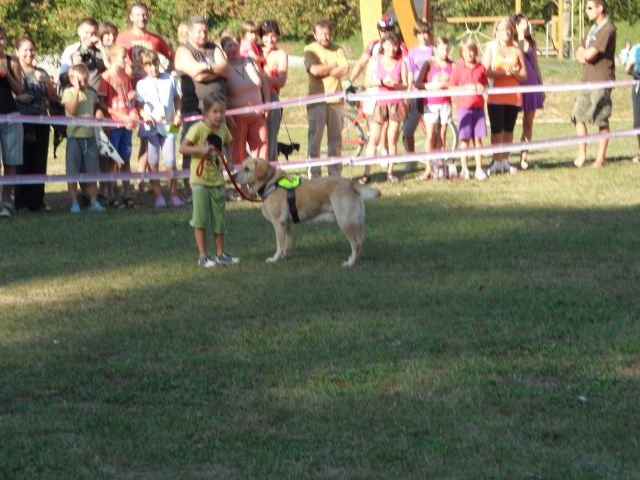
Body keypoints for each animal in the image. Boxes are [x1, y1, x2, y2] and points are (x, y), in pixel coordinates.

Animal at [236, 159, 380, 268]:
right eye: (241, 166)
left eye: (246, 169)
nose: (235, 175)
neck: (270, 183)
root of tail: (350, 183)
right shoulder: (287, 223)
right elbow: (287, 242)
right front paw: (285, 255)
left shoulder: (278, 223)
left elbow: (279, 244)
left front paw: (275, 258)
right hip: (357, 222)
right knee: (361, 241)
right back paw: (354, 259)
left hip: (345, 222)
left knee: (356, 244)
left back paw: (350, 263)